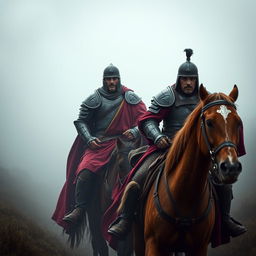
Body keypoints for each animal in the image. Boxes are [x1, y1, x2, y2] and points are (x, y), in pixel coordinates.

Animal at [133, 84, 243, 256]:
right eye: (209, 122)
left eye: (238, 123)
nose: (231, 167)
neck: (184, 193)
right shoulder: (153, 244)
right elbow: (148, 119)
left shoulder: (199, 247)